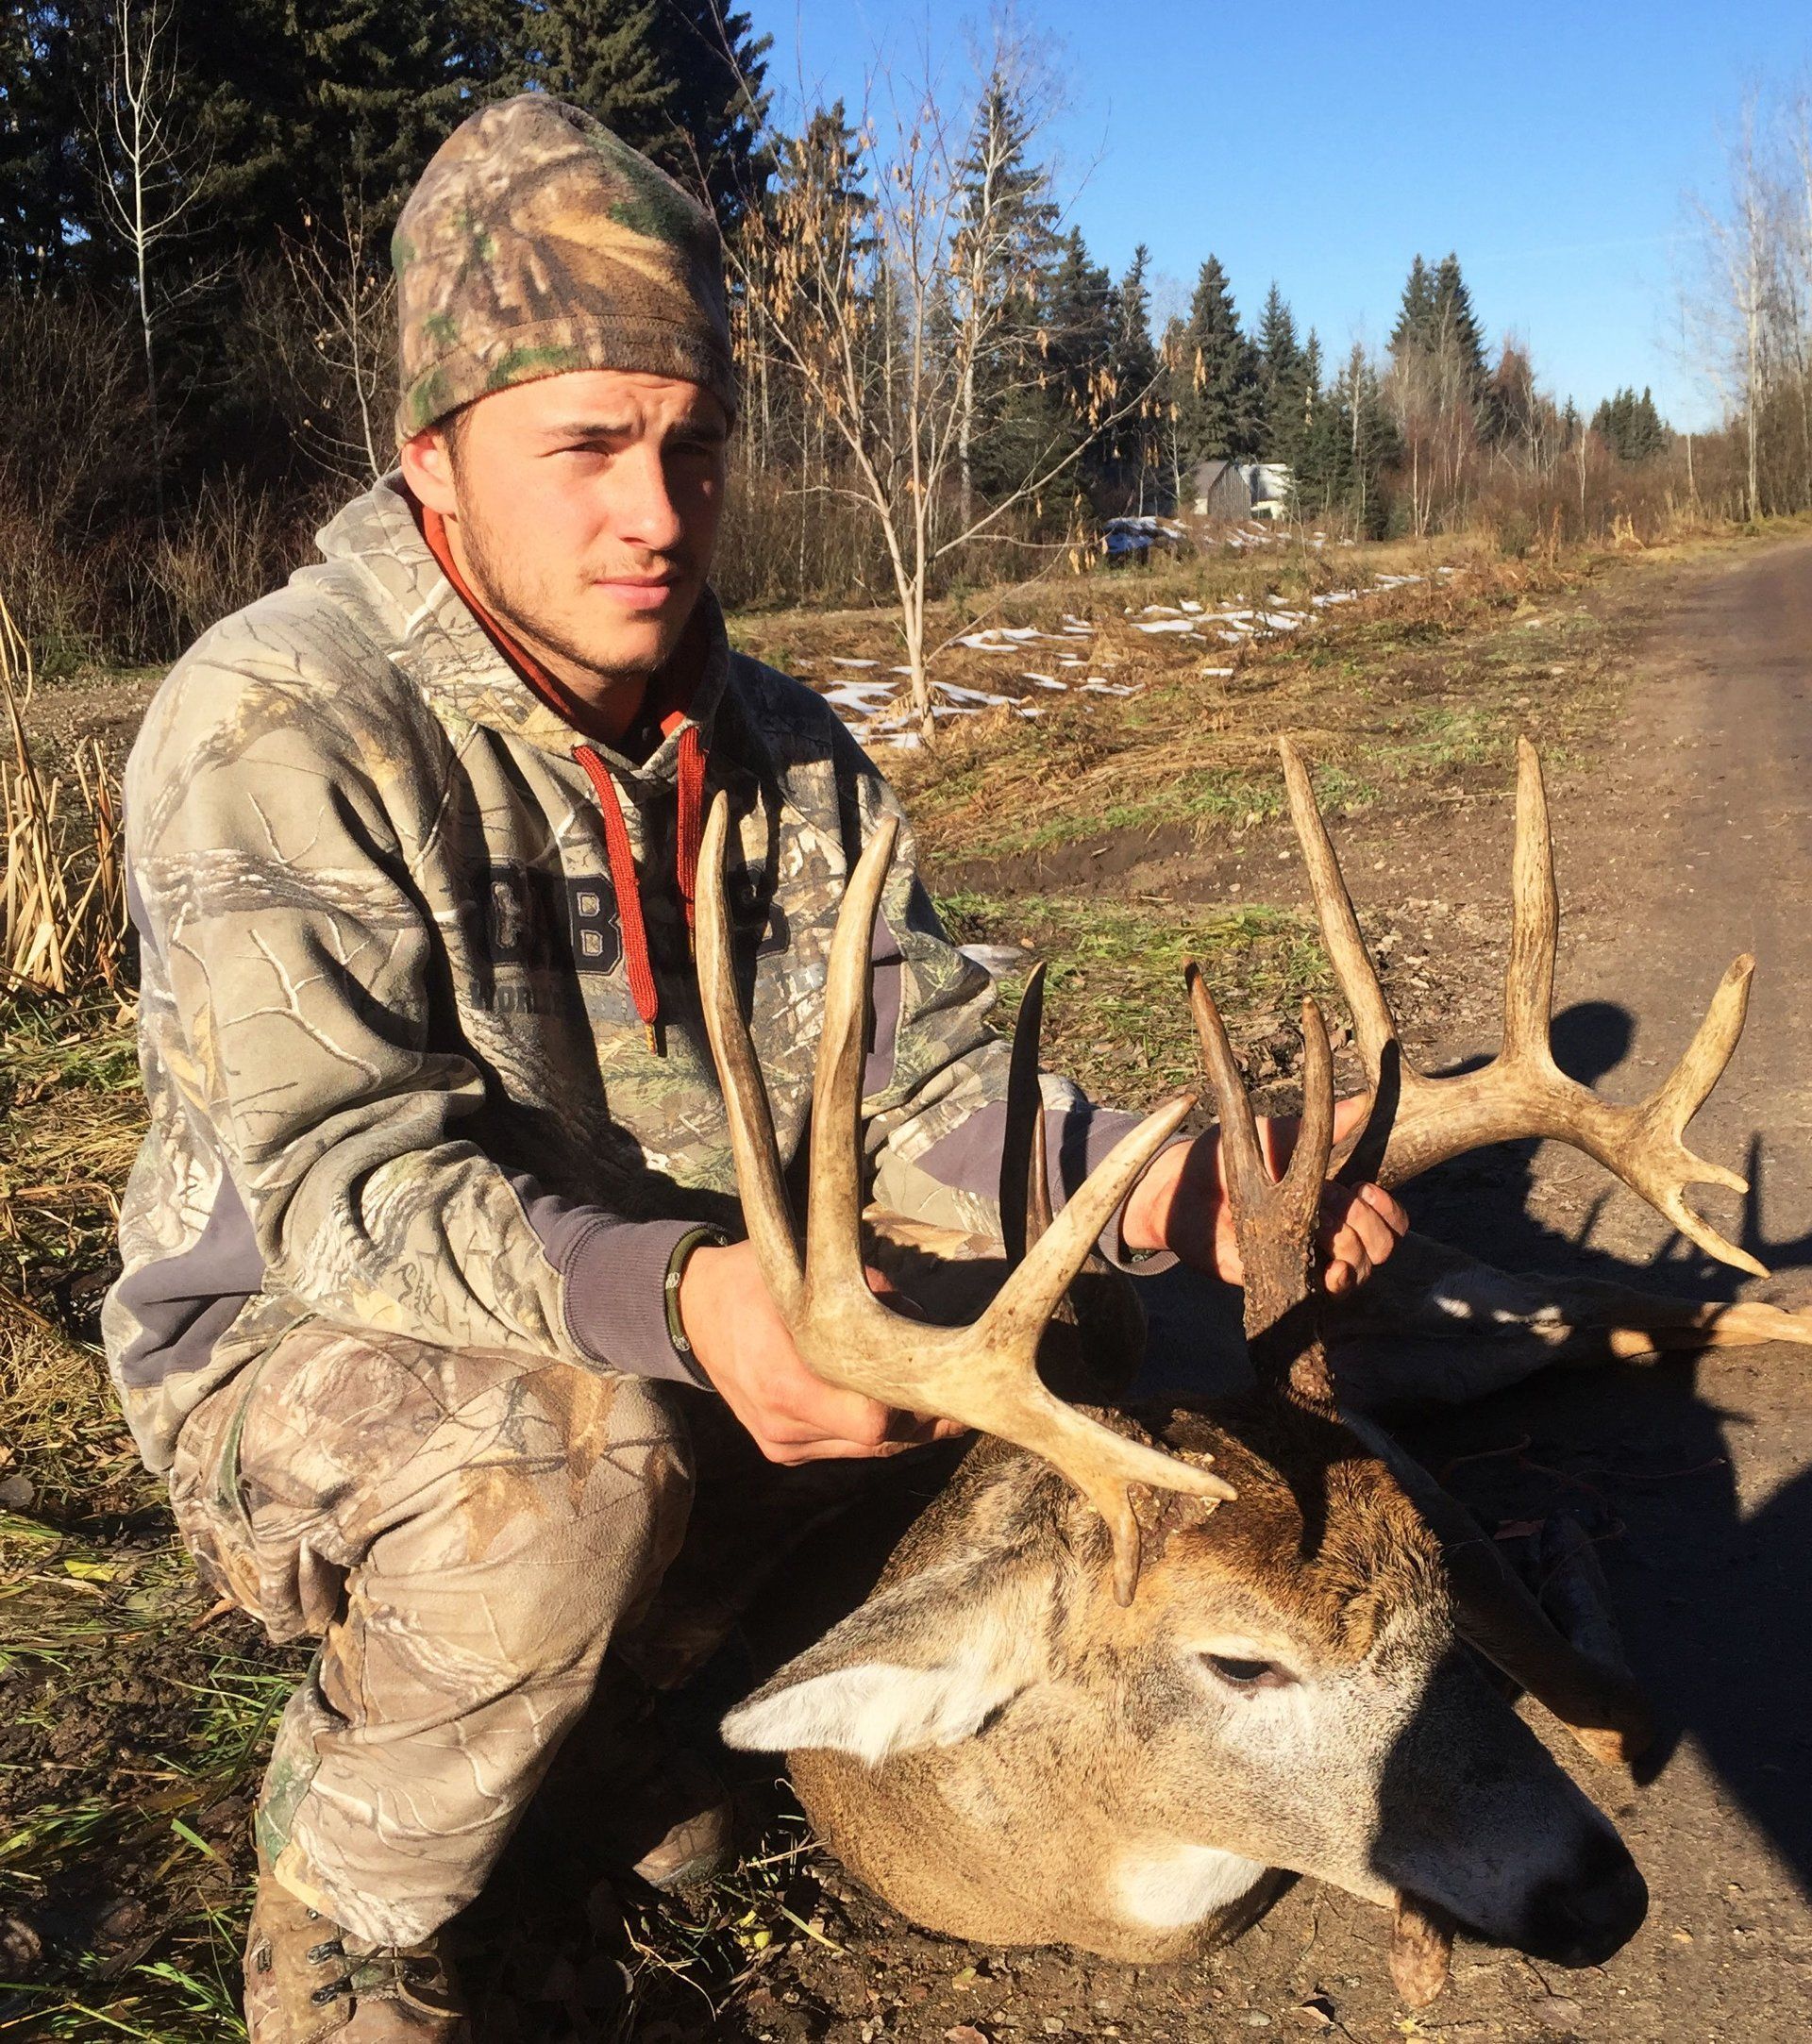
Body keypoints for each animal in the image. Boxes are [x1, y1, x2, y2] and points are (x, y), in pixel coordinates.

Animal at [672, 736, 1809, 2007]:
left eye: (1436, 1590)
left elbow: (1621, 1715)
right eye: (1241, 1663)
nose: (1606, 1897)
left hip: (1452, 1303)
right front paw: (1422, 1941)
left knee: (1634, 1298)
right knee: (1625, 1318)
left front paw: (1564, 1554)